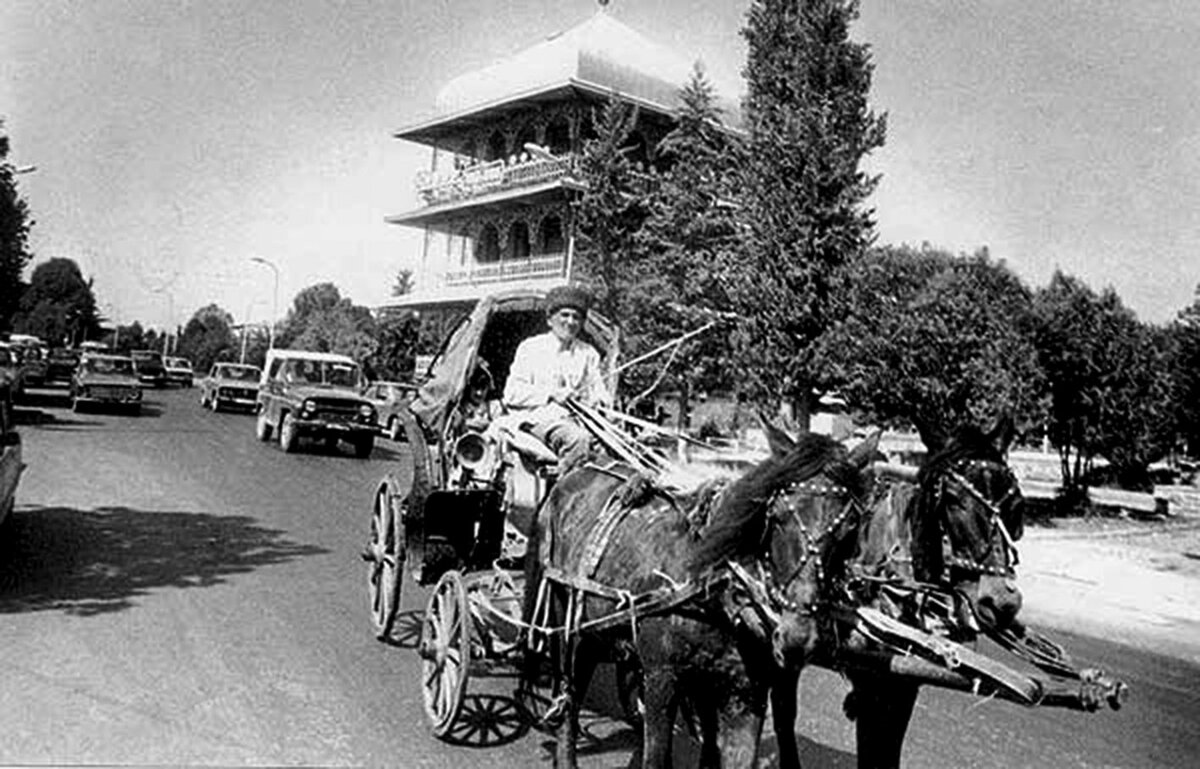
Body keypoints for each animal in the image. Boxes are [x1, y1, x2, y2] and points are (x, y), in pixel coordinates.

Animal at [525, 429, 883, 763]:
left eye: (851, 528)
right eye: (776, 516)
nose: (797, 637)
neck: (714, 593)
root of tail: (575, 472)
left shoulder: (746, 694)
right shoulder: (661, 680)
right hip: (570, 631)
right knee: (568, 704)